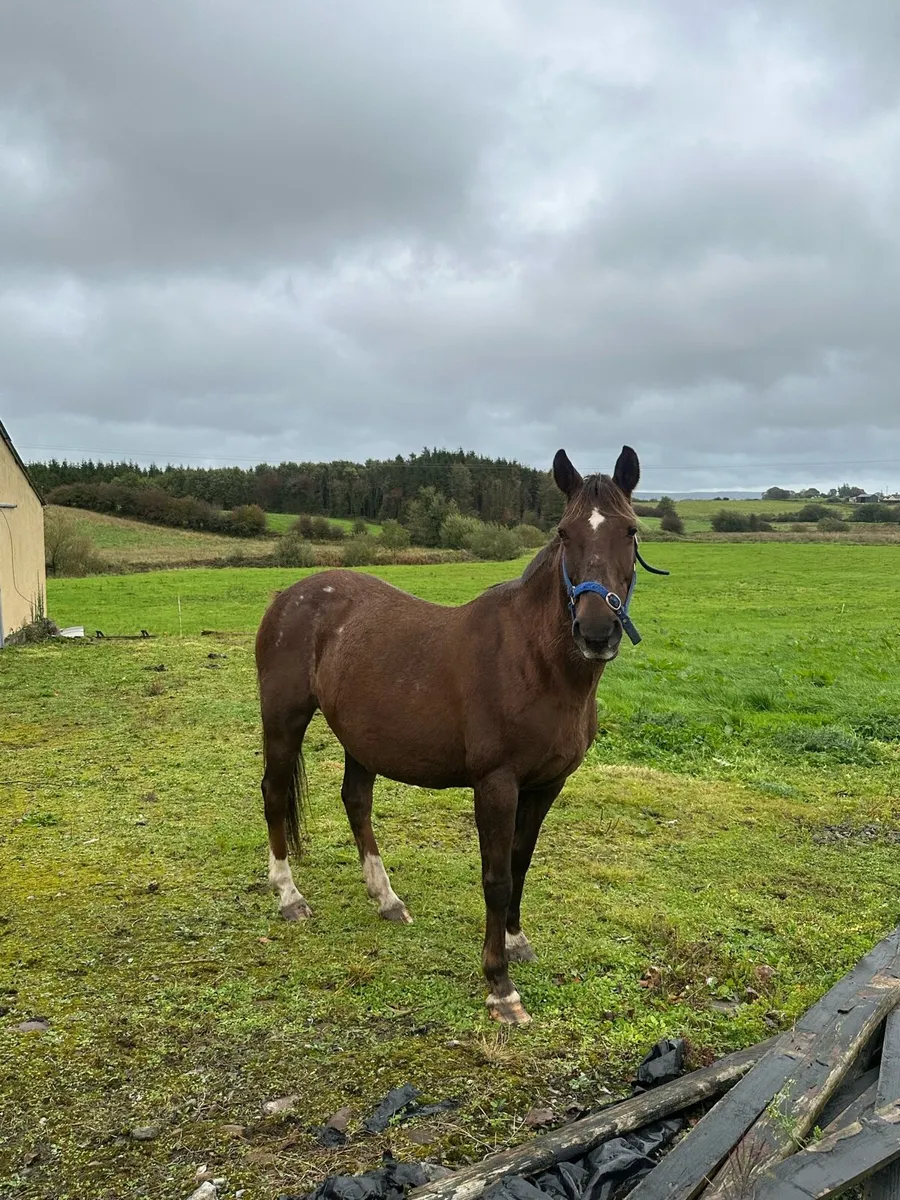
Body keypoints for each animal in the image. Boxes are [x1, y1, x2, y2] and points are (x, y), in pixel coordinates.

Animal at [254, 446, 667, 1024]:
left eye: (630, 531)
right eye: (564, 533)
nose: (595, 632)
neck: (535, 661)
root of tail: (288, 595)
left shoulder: (546, 786)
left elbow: (520, 862)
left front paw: (517, 942)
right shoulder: (496, 785)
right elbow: (495, 877)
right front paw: (500, 985)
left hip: (361, 737)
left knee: (356, 801)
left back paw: (387, 899)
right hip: (284, 719)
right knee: (274, 794)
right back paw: (289, 897)